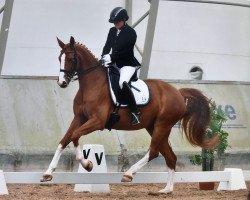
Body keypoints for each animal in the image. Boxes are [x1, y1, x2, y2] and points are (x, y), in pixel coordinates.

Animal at [41, 36, 217, 193]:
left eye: (71, 59)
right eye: (59, 58)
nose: (62, 83)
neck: (91, 85)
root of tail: (178, 93)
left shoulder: (97, 121)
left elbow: (75, 136)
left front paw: (87, 164)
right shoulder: (79, 118)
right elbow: (64, 140)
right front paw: (48, 173)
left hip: (162, 124)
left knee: (153, 151)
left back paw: (129, 174)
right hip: (155, 127)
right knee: (170, 156)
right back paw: (166, 189)